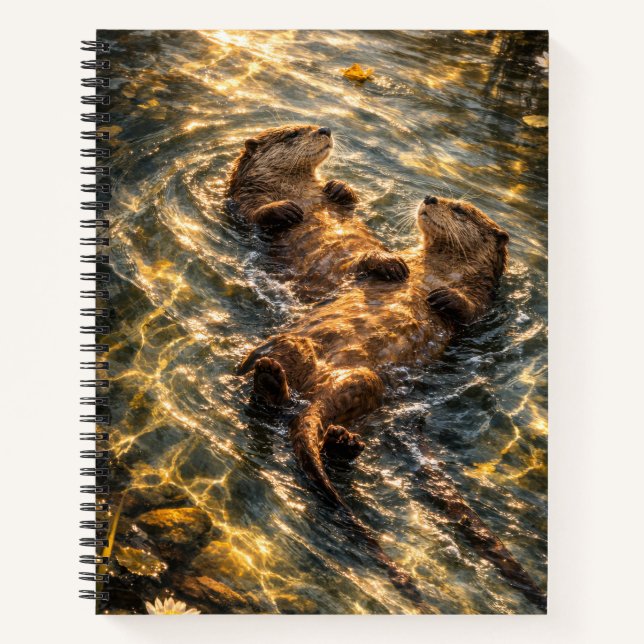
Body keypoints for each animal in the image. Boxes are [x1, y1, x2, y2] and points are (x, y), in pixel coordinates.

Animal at [227, 125, 410, 301]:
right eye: (293, 133)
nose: (325, 129)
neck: (297, 191)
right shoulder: (245, 199)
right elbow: (254, 215)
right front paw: (287, 209)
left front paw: (338, 187)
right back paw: (390, 264)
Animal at [239, 195, 546, 610]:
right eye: (440, 197)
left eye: (460, 210)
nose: (431, 198)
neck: (437, 271)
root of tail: (312, 394)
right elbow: (363, 266)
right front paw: (388, 264)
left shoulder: (483, 303)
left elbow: (470, 311)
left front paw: (447, 299)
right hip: (301, 351)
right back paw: (273, 377)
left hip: (365, 384)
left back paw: (333, 434)